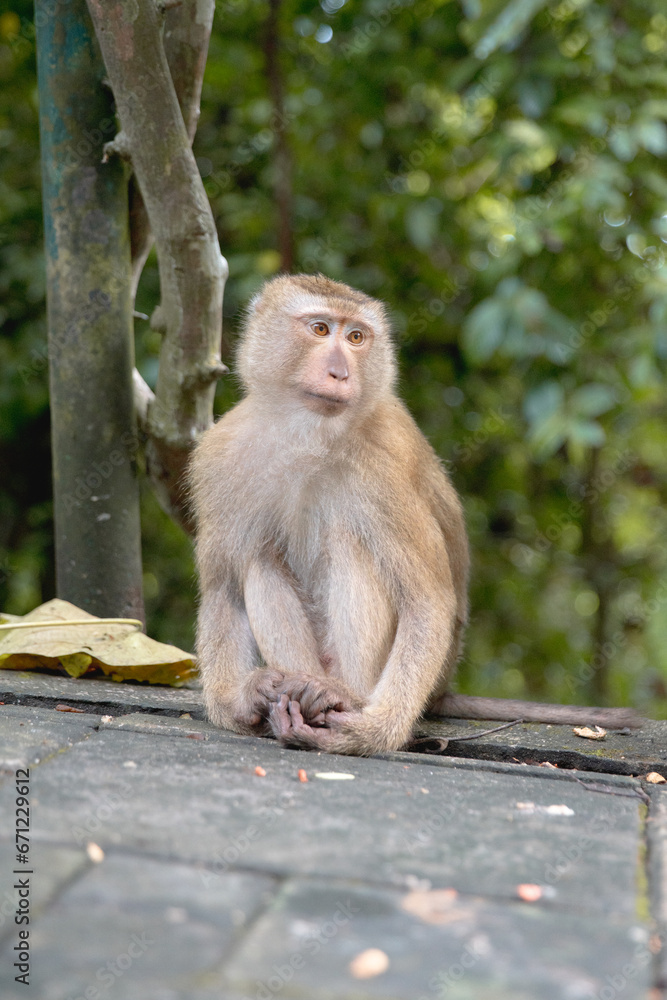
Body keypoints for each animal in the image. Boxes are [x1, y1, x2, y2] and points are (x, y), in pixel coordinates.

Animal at [189, 274, 640, 757]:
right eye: (320, 329)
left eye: (356, 337)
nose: (340, 372)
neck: (308, 435)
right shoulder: (220, 459)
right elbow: (223, 591)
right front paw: (243, 701)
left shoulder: (384, 467)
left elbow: (428, 601)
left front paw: (371, 731)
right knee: (260, 557)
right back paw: (295, 698)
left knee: (350, 544)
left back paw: (343, 696)